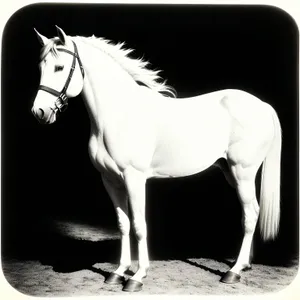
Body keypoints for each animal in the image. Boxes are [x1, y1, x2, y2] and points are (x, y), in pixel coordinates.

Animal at [32, 26, 282, 292]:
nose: (39, 112)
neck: (119, 115)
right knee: (250, 213)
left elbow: (140, 226)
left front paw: (137, 276)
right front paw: (118, 272)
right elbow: (123, 224)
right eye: (41, 67)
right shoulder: (110, 180)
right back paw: (244, 265)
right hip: (230, 172)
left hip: (243, 172)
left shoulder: (134, 179)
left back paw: (233, 271)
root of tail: (263, 105)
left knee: (251, 214)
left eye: (59, 67)